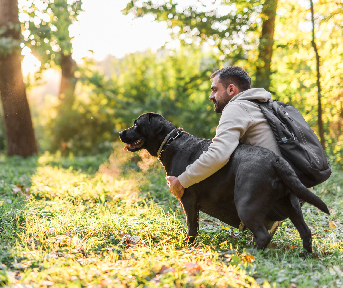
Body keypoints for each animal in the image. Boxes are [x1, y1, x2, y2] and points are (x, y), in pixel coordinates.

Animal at [120, 112, 330, 252]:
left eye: (136, 124)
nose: (120, 132)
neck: (171, 142)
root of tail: (276, 160)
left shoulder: (188, 200)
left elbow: (191, 226)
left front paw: (186, 244)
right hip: (291, 203)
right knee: (305, 231)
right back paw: (306, 256)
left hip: (246, 204)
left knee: (263, 235)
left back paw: (251, 254)